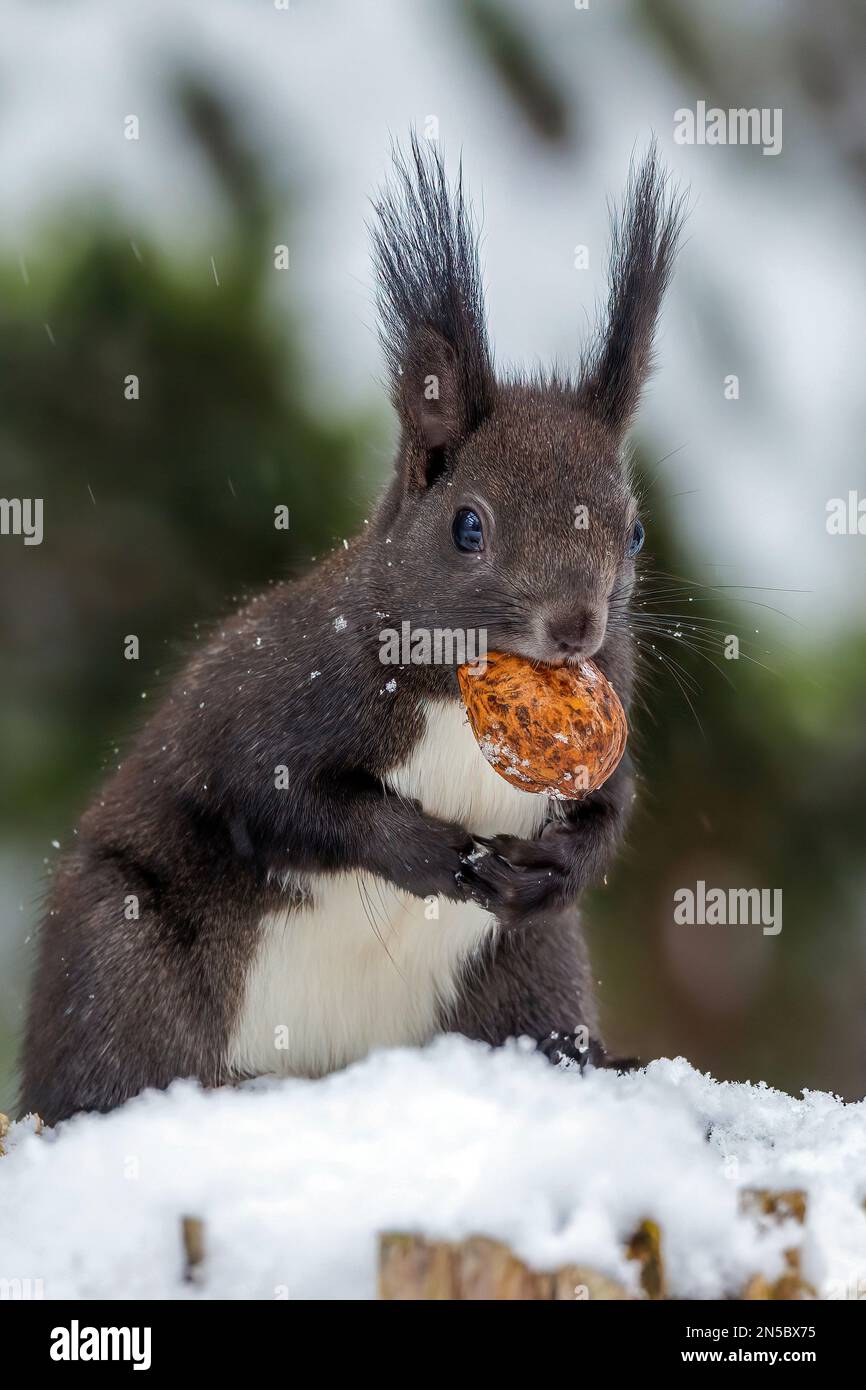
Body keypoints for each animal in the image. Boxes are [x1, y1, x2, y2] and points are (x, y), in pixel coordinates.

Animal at [16, 135, 683, 1123]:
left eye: (633, 531)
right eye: (468, 525)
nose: (574, 628)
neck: (456, 684)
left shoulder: (616, 707)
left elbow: (616, 802)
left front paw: (563, 861)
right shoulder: (284, 699)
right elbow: (285, 798)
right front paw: (428, 850)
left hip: (533, 962)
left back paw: (600, 1060)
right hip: (119, 948)